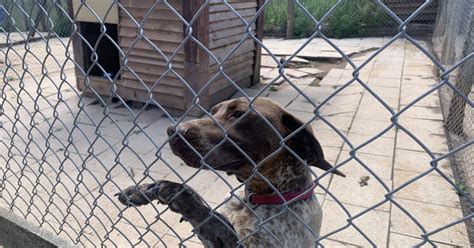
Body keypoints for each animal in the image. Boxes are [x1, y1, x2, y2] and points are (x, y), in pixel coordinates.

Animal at [115, 98, 344, 247]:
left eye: (239, 114)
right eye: (213, 111)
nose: (173, 131)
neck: (255, 199)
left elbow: (213, 219)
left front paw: (176, 194)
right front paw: (143, 189)